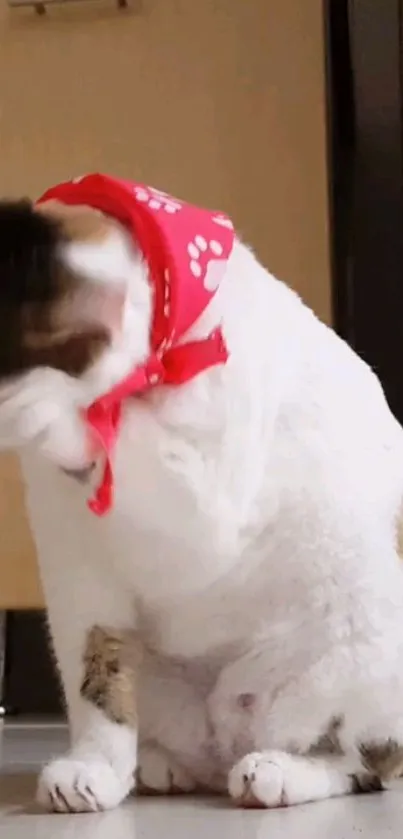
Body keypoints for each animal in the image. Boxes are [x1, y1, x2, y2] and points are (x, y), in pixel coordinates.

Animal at [0, 176, 403, 812]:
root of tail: (225, 741)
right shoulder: (79, 581)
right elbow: (97, 685)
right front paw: (94, 767)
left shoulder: (208, 498)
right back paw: (159, 765)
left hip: (360, 648)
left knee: (366, 759)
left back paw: (281, 770)